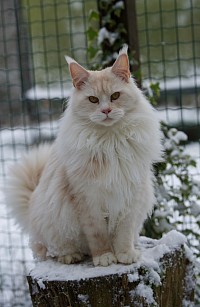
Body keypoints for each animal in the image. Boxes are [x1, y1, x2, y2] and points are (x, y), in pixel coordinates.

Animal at [5, 45, 162, 268]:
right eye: (93, 100)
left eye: (115, 96)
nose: (106, 110)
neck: (110, 142)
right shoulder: (88, 200)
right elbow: (98, 236)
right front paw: (104, 257)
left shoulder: (130, 196)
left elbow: (123, 233)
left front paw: (125, 255)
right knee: (52, 250)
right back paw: (71, 256)